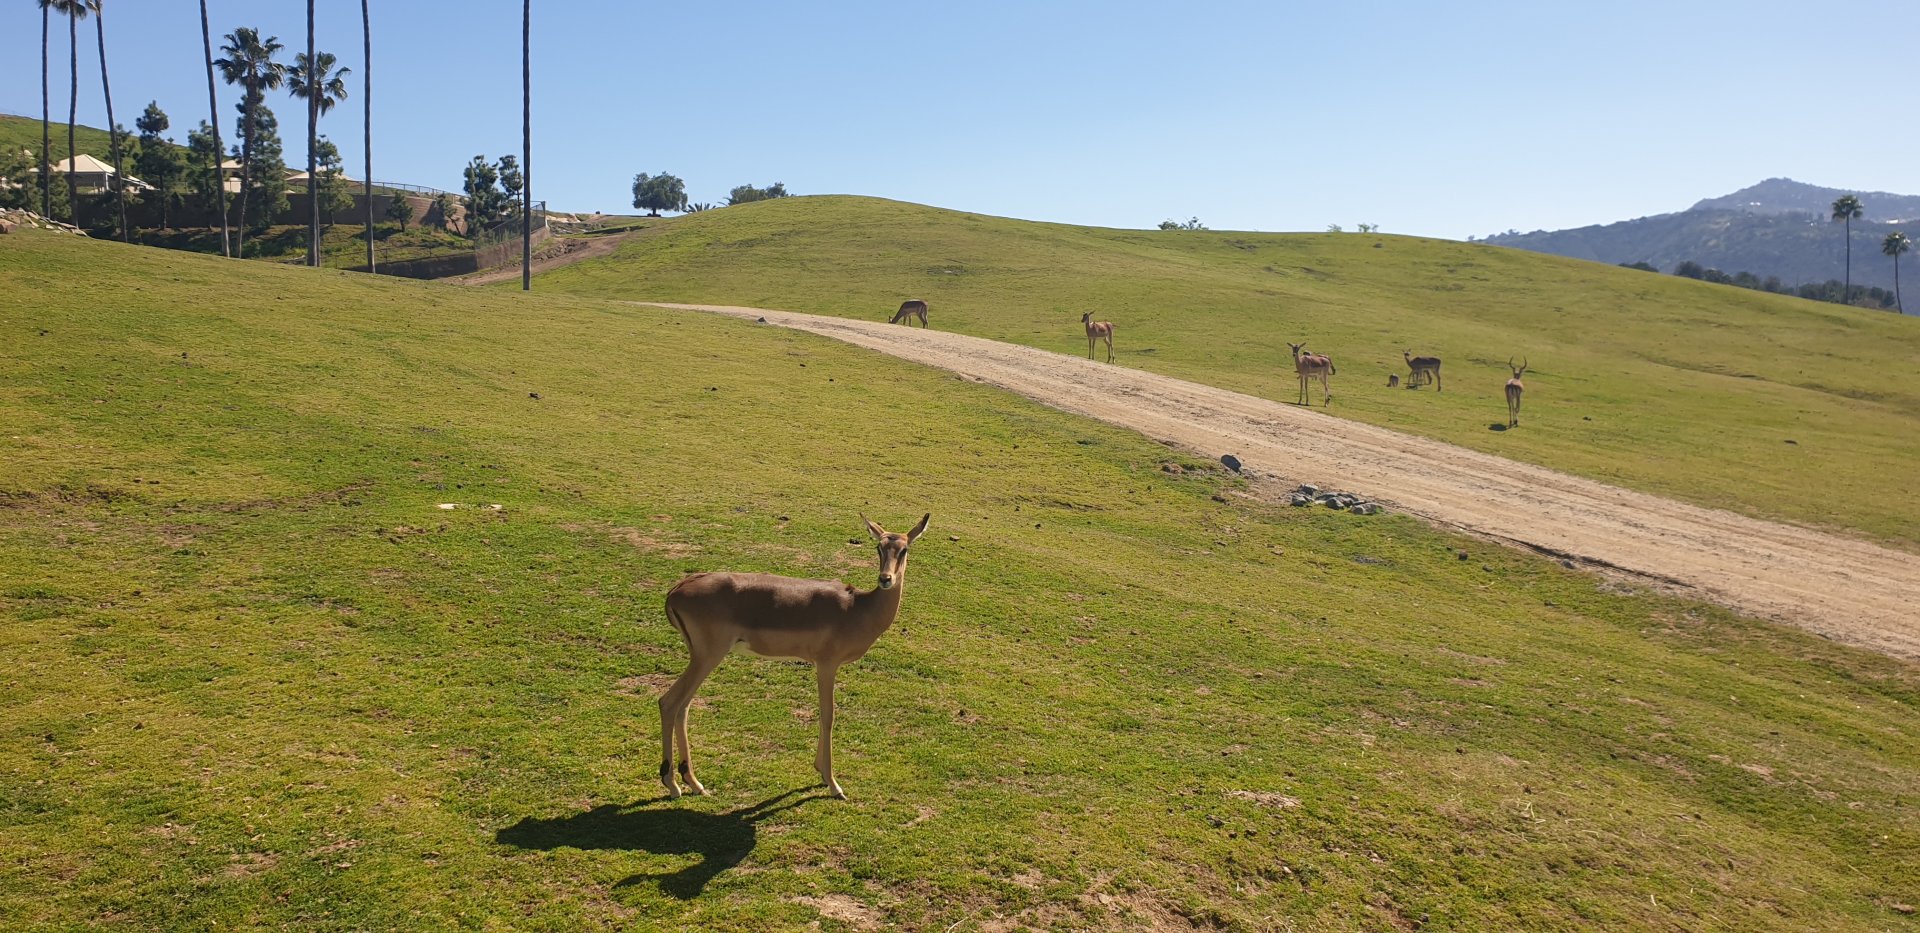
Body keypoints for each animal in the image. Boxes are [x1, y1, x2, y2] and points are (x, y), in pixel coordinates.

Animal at [657, 513, 931, 801]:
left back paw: (693, 782)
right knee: (669, 703)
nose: (885, 579)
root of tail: (676, 590)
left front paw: (821, 772)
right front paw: (833, 784)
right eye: (879, 547)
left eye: (904, 549)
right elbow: (828, 715)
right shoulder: (826, 665)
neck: (858, 609)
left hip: (701, 659)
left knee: (683, 707)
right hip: (707, 657)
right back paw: (673, 784)